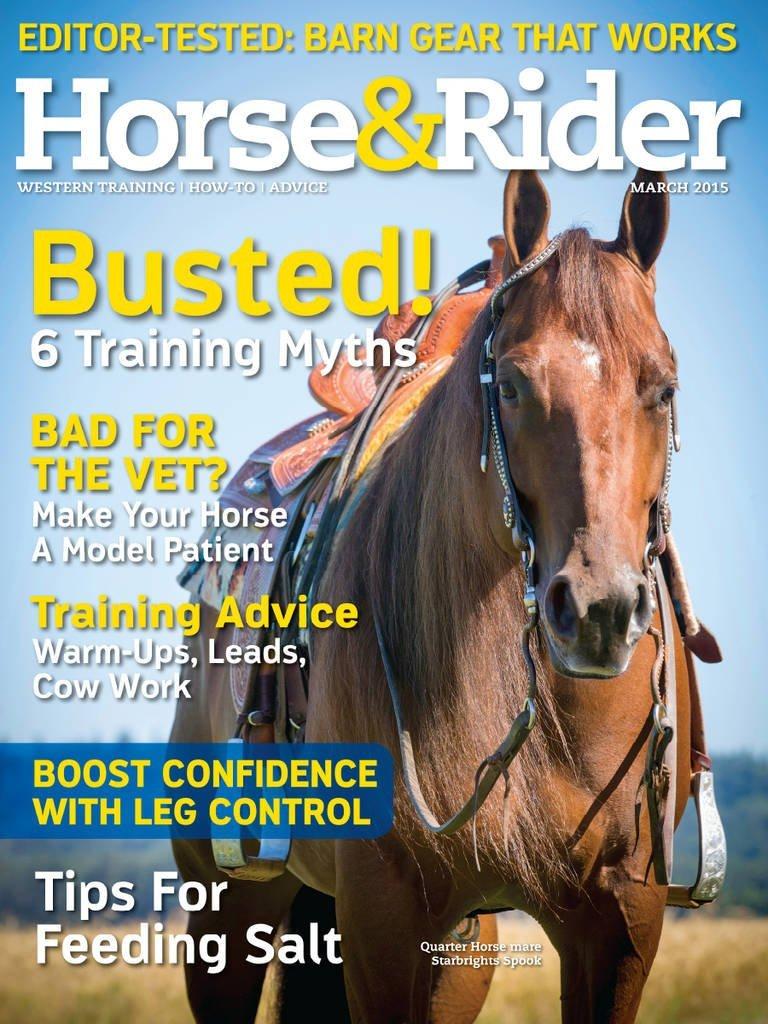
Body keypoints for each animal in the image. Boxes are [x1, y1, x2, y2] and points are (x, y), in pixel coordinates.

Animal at [172, 167, 695, 1023]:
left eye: (663, 387)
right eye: (510, 384)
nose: (598, 613)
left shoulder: (622, 918)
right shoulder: (383, 913)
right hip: (227, 903)